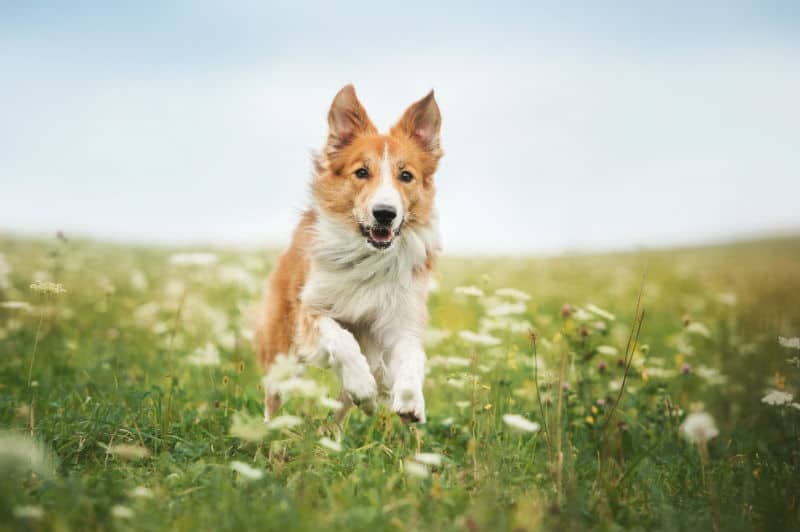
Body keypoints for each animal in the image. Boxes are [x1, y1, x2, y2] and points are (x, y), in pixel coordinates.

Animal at [255, 83, 444, 424]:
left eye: (406, 176)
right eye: (362, 172)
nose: (385, 213)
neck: (369, 258)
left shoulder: (401, 318)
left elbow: (413, 356)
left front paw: (410, 401)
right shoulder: (311, 310)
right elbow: (341, 339)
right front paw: (363, 384)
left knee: (339, 414)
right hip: (281, 349)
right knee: (273, 397)